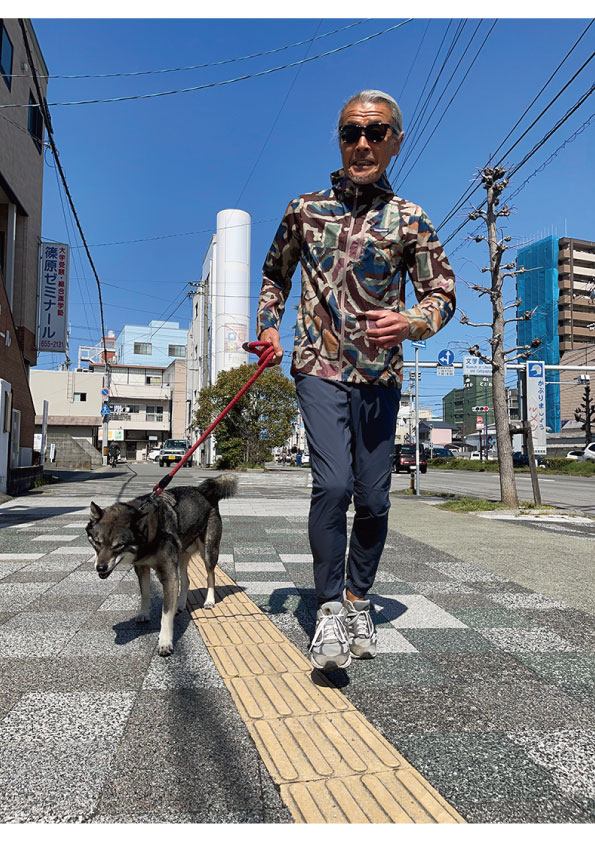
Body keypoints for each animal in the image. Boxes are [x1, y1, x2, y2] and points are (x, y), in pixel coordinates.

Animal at [85, 476, 237, 652]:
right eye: (97, 542)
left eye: (119, 546)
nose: (100, 567)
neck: (150, 533)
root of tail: (203, 491)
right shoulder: (142, 568)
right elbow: (145, 593)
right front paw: (144, 613)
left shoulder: (169, 574)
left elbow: (166, 613)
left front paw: (165, 641)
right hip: (181, 555)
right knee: (186, 581)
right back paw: (180, 604)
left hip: (208, 552)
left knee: (210, 576)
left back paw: (209, 601)